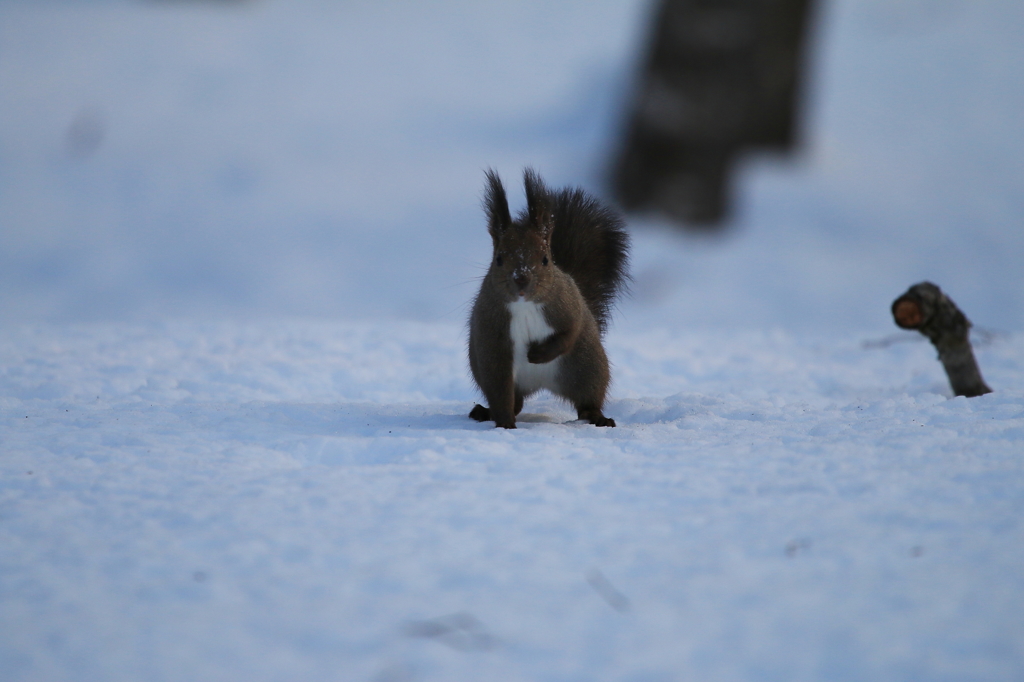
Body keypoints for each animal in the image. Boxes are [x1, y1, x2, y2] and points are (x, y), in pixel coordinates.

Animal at [468, 167, 626, 428]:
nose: (521, 278)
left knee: (587, 401)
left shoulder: (569, 305)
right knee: (514, 402)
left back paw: (598, 417)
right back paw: (485, 412)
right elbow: (500, 394)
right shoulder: (492, 338)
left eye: (545, 259)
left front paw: (538, 354)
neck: (524, 305)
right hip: (492, 374)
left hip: (587, 367)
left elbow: (570, 332)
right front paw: (505, 425)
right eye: (499, 259)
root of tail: (540, 383)